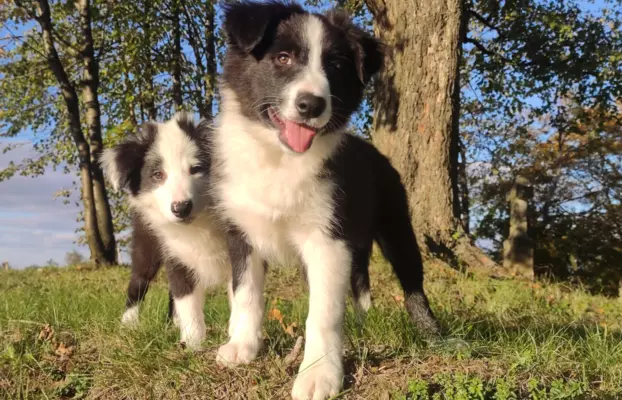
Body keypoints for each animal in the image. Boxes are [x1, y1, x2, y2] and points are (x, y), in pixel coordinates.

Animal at [98, 113, 230, 350]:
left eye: (196, 168)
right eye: (158, 174)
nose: (181, 208)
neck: (199, 224)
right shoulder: (174, 252)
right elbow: (187, 299)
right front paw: (193, 345)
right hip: (147, 243)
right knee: (138, 282)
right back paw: (129, 323)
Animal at [217, 1, 442, 398]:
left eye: (335, 66)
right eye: (283, 58)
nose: (311, 104)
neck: (280, 158)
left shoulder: (328, 239)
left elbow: (322, 312)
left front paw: (318, 374)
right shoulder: (241, 232)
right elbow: (245, 293)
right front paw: (243, 346)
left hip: (396, 226)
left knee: (413, 283)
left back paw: (433, 334)